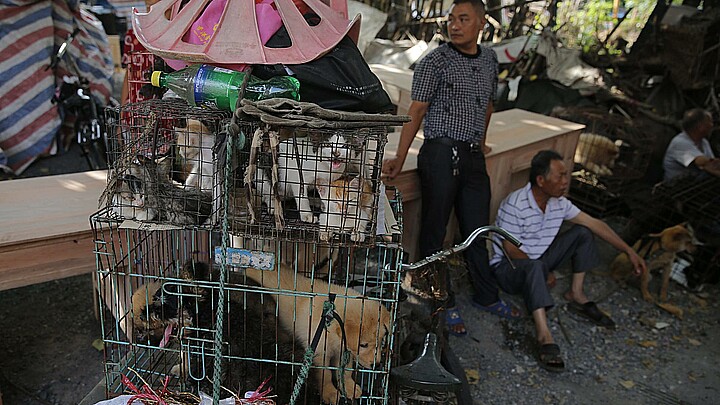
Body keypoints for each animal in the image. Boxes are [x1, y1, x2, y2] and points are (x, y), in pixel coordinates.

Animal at [246, 264, 394, 402]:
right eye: (363, 345)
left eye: (381, 342)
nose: (377, 364)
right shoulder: (318, 354)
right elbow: (326, 375)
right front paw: (330, 393)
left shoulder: (343, 351)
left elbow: (345, 371)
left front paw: (349, 387)